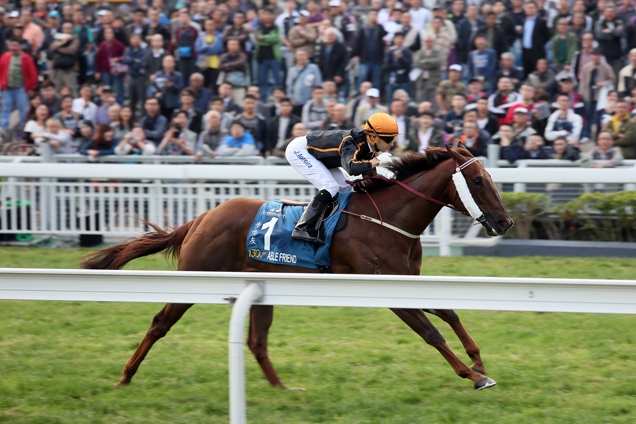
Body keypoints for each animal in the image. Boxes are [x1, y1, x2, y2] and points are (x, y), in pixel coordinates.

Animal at [82, 145, 516, 390]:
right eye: (479, 181)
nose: (505, 222)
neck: (389, 219)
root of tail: (202, 217)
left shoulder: (410, 281)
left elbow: (449, 312)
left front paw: (478, 359)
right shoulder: (386, 287)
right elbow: (431, 332)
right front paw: (475, 375)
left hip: (260, 286)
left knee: (257, 341)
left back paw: (281, 390)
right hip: (195, 275)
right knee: (160, 323)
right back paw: (125, 376)